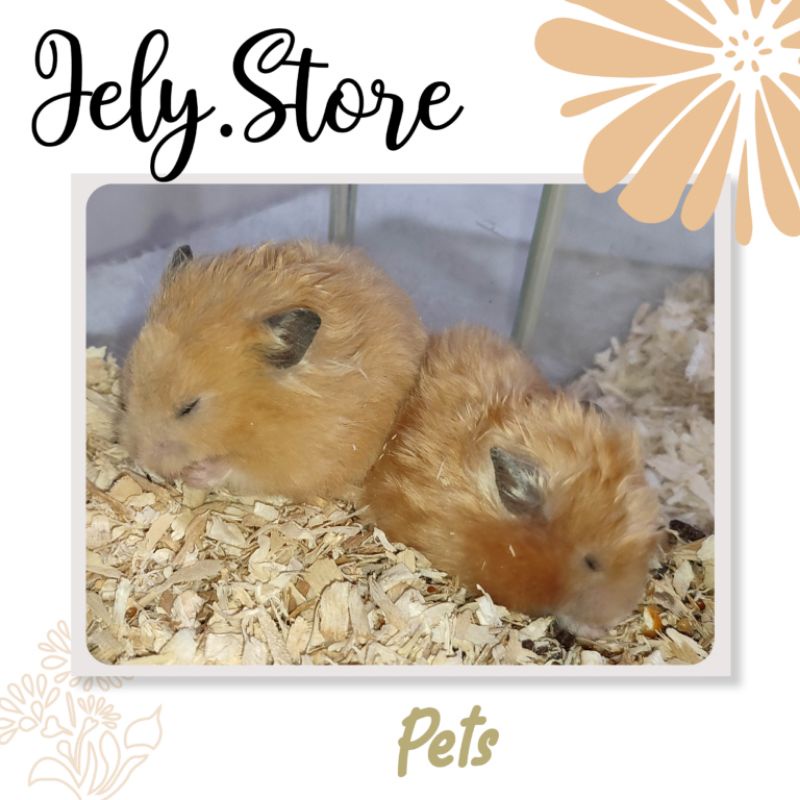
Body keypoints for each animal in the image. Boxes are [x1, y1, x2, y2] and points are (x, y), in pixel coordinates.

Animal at [119, 240, 427, 502]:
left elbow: (240, 468)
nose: (141, 459)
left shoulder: (298, 457)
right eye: (130, 380)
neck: (258, 412)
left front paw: (195, 473)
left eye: (189, 407)